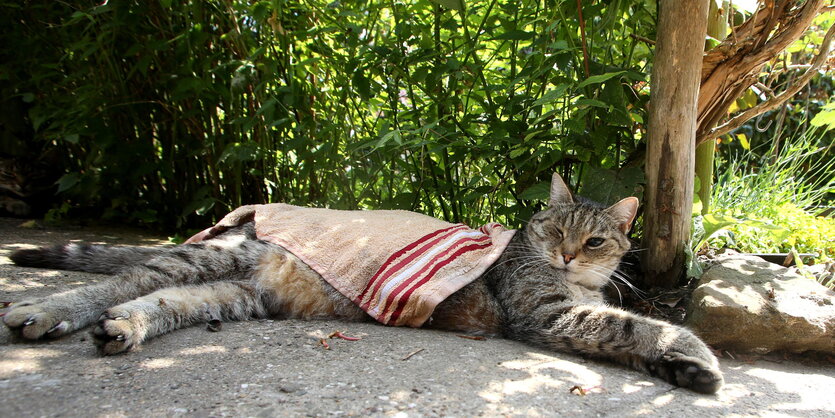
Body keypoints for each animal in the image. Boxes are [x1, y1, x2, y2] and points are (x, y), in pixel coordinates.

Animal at [1, 174, 724, 396]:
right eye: (555, 229)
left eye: (595, 241)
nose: (570, 255)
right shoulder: (545, 313)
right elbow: (635, 324)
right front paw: (693, 352)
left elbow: (625, 328)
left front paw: (680, 370)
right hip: (204, 262)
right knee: (121, 279)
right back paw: (42, 311)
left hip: (229, 294)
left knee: (151, 301)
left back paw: (121, 329)